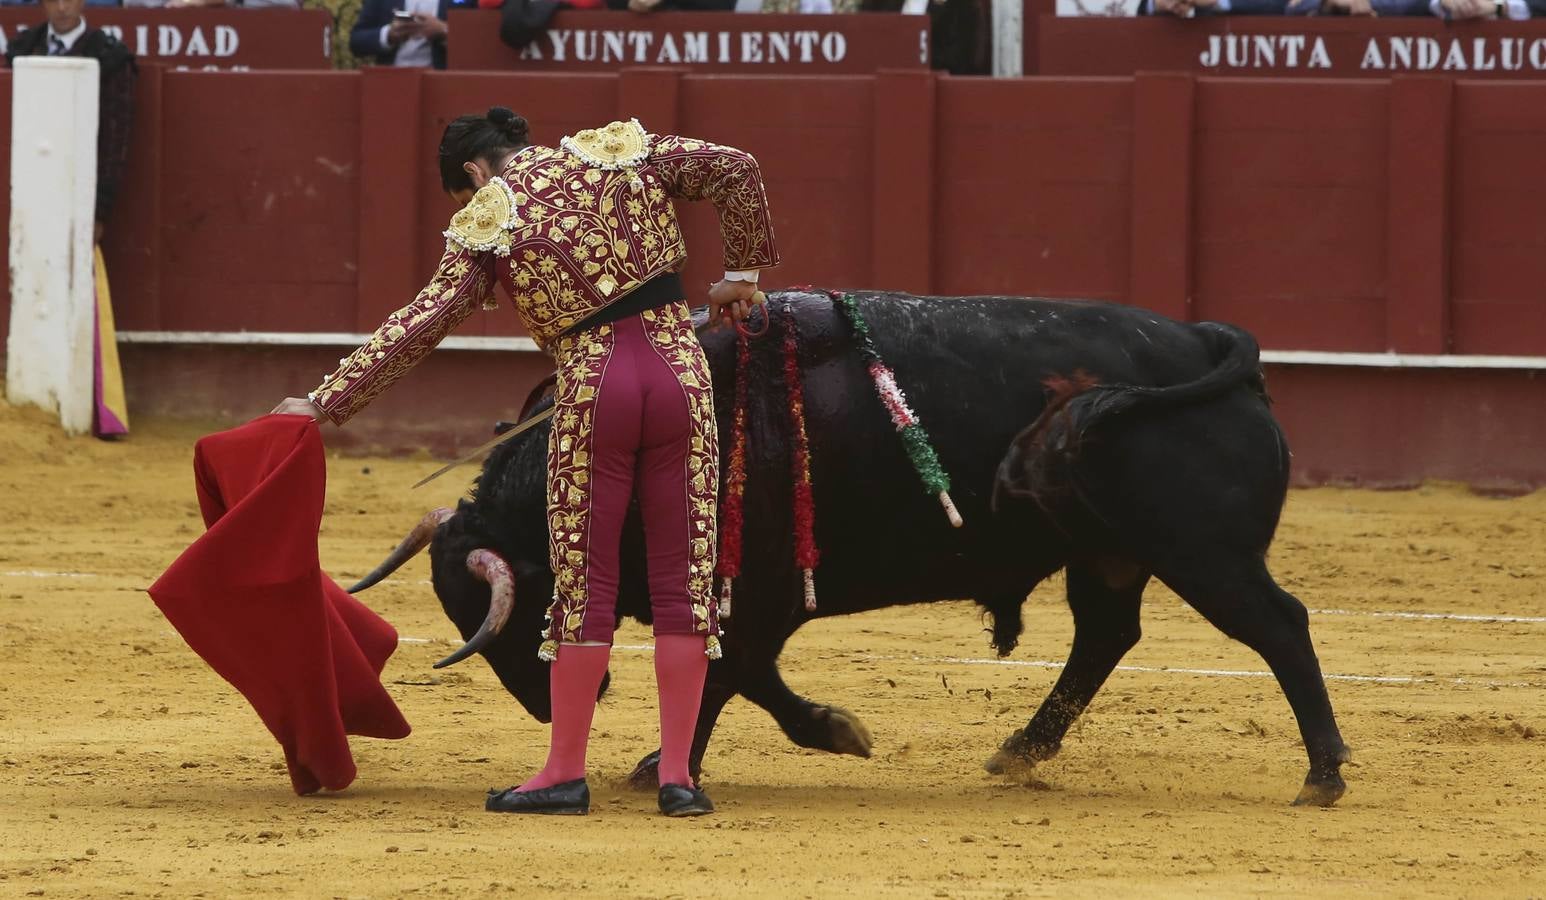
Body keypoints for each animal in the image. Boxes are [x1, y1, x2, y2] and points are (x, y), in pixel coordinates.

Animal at [350, 292, 1354, 810]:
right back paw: (1018, 751)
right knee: (1107, 636)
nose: (552, 699)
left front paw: (818, 734)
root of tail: (1210, 341)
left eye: (520, 609)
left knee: (1278, 626)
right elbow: (731, 675)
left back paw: (1322, 774)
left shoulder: (754, 594)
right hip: (1107, 551)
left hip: (1204, 553)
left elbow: (734, 674)